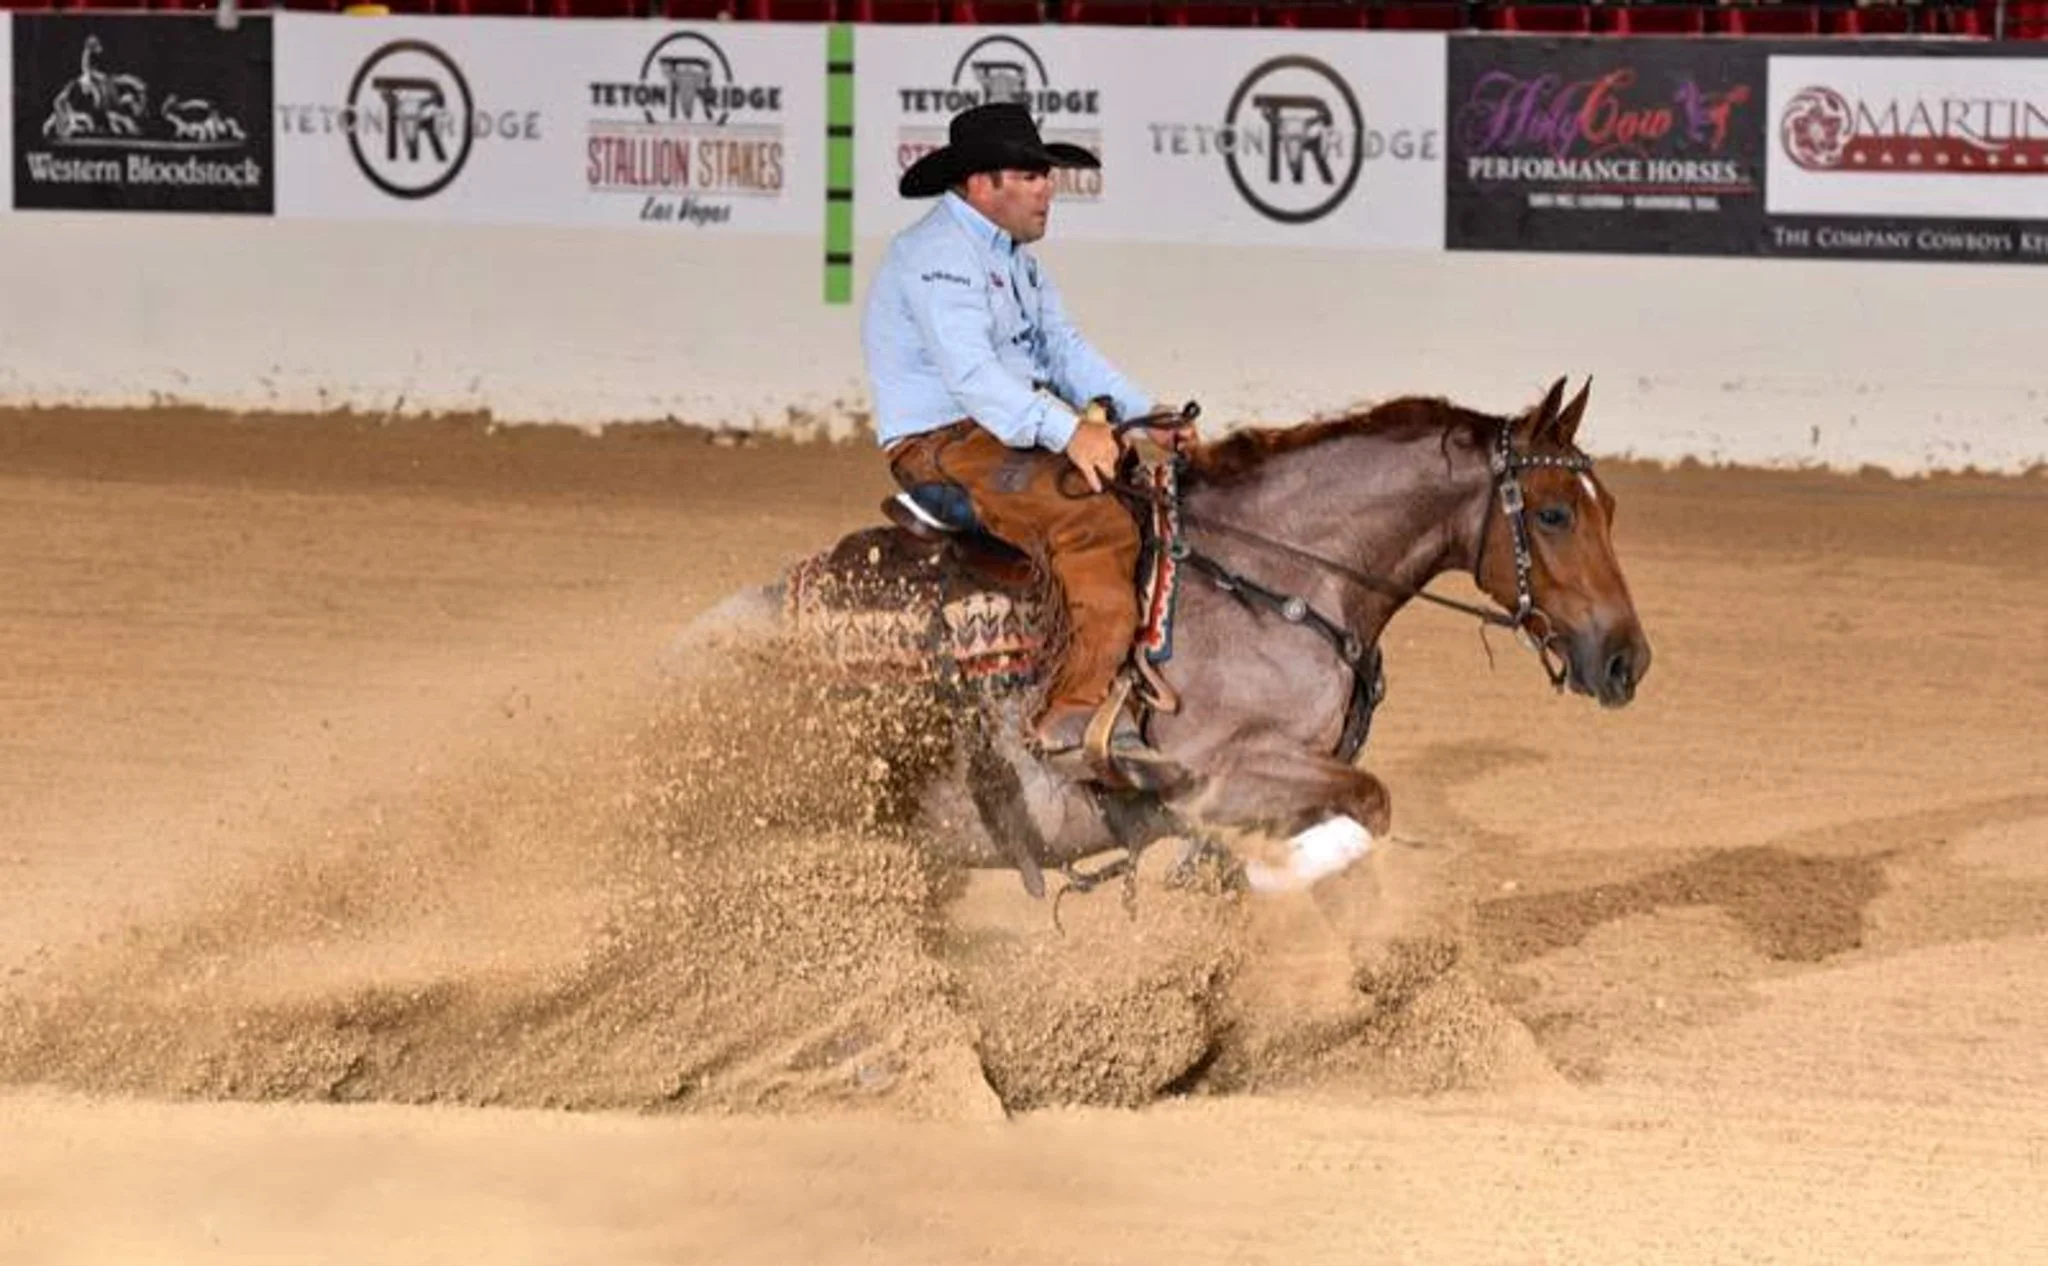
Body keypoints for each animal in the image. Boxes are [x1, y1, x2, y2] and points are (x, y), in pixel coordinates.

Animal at [683, 375, 1650, 905]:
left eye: (1607, 506)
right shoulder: (1225, 771)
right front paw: (1265, 876)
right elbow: (1372, 804)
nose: (1625, 657)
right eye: (1555, 514)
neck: (1279, 582)